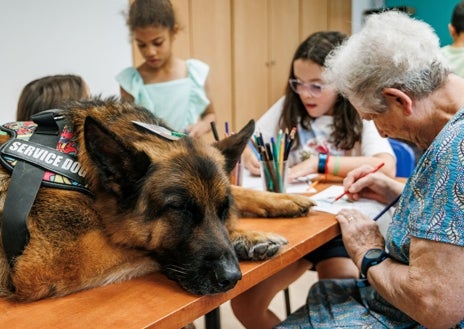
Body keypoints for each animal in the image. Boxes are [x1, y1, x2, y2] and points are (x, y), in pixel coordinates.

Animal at [0, 97, 316, 300]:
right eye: (179, 209)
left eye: (223, 208)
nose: (232, 278)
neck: (81, 167)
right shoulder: (51, 262)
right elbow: (143, 247)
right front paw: (246, 237)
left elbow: (238, 191)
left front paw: (281, 200)